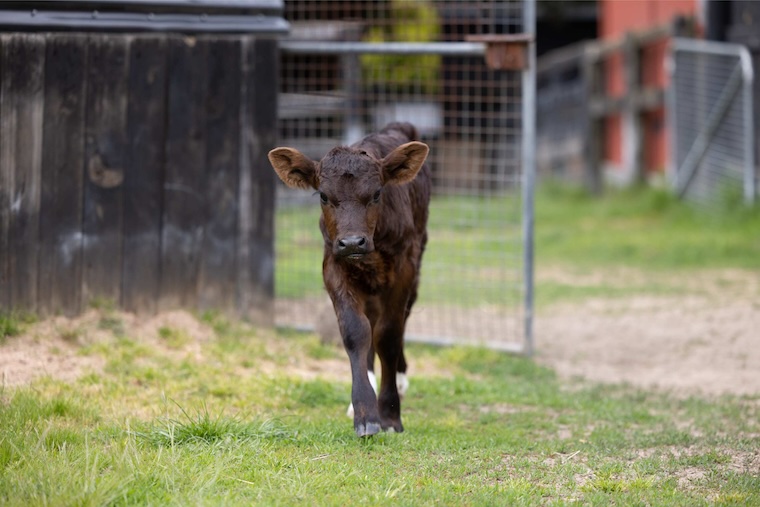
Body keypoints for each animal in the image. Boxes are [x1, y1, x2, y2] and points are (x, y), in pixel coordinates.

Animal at [268, 122, 431, 437]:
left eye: (377, 193)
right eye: (323, 195)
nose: (353, 242)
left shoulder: (404, 266)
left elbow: (389, 335)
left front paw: (390, 415)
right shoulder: (333, 264)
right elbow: (356, 332)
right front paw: (365, 413)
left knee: (400, 320)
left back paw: (400, 379)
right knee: (370, 321)